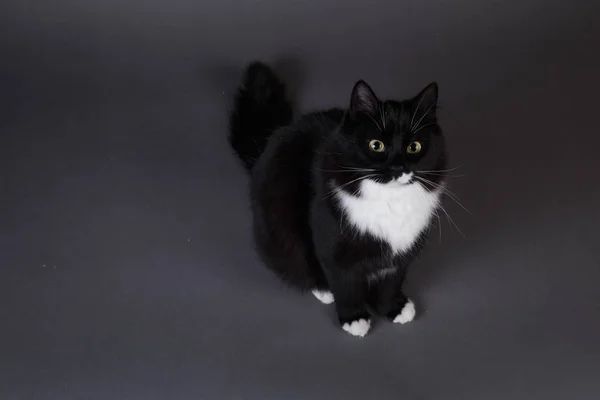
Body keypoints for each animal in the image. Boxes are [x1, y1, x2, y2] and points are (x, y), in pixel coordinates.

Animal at [227, 61, 448, 338]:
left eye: (414, 147)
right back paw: (323, 289)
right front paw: (354, 318)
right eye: (376, 145)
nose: (398, 167)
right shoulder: (332, 245)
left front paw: (393, 308)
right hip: (280, 224)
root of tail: (270, 141)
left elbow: (390, 281)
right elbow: (345, 284)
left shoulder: (401, 251)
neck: (390, 201)